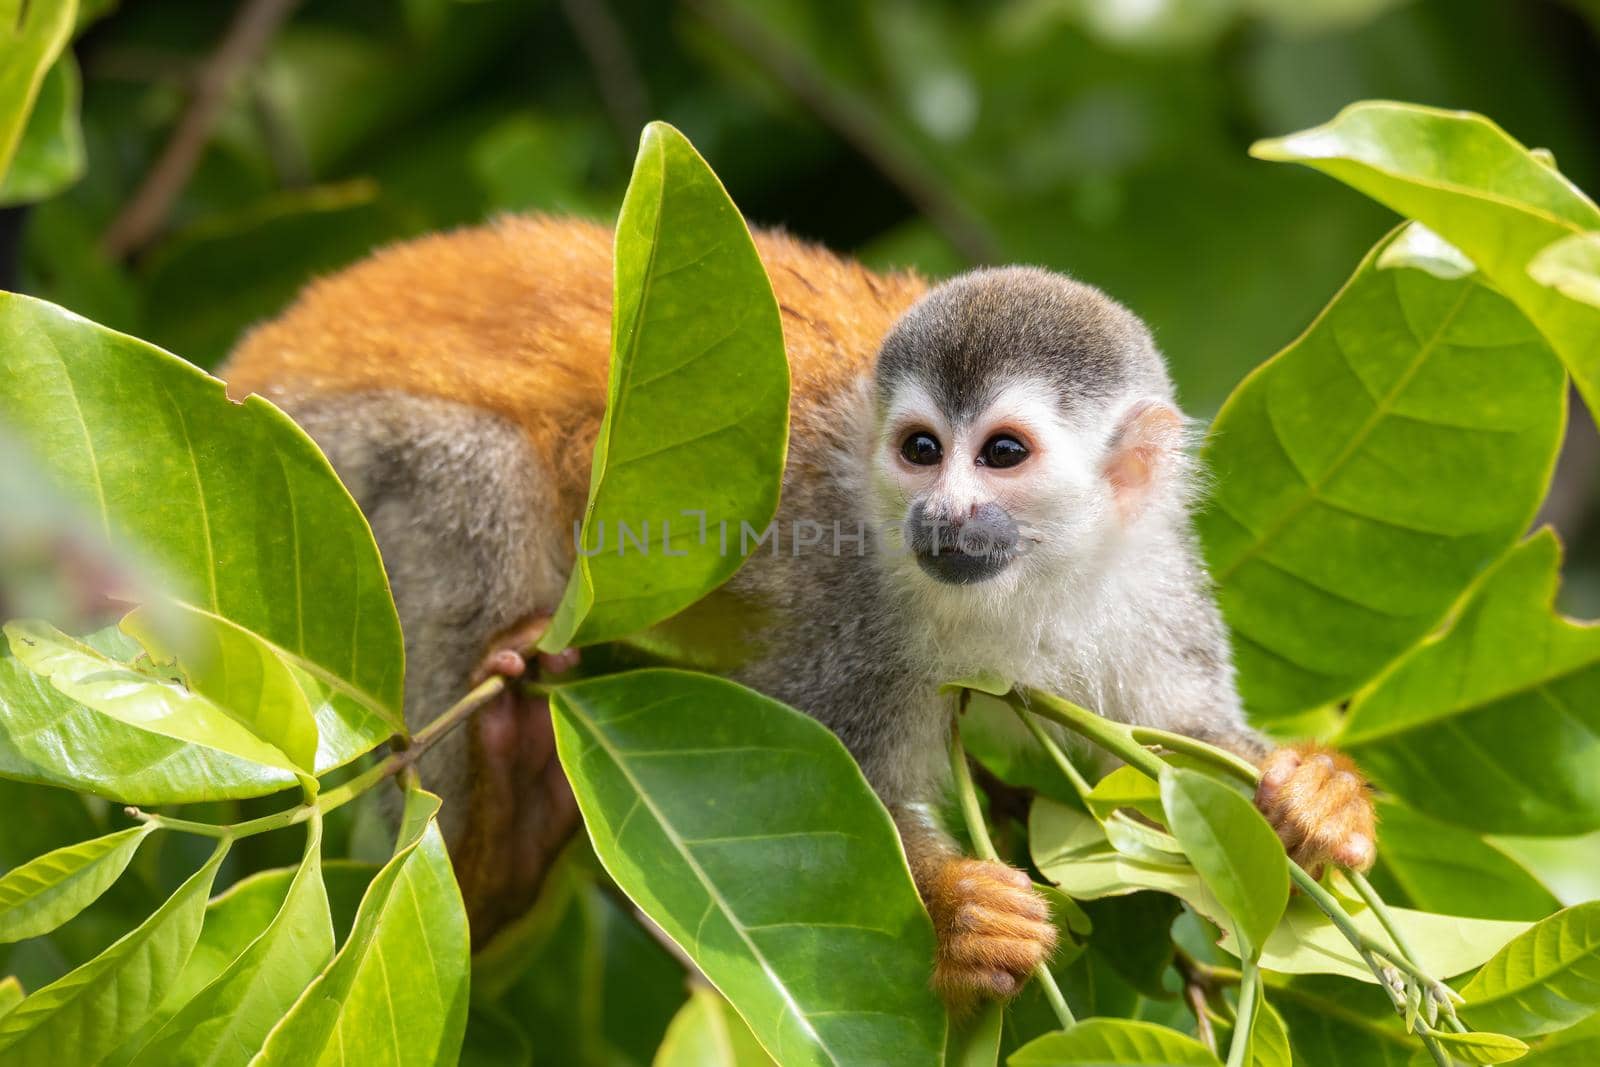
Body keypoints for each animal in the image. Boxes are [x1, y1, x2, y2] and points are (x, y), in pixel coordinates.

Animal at [225, 214, 1376, 1004]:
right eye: (920, 449)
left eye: (1001, 453)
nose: (939, 513)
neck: (1029, 579)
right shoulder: (850, 592)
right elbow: (818, 763)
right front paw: (959, 916)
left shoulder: (1151, 583)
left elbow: (1178, 751)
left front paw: (1313, 794)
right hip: (329, 452)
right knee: (479, 481)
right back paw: (492, 849)